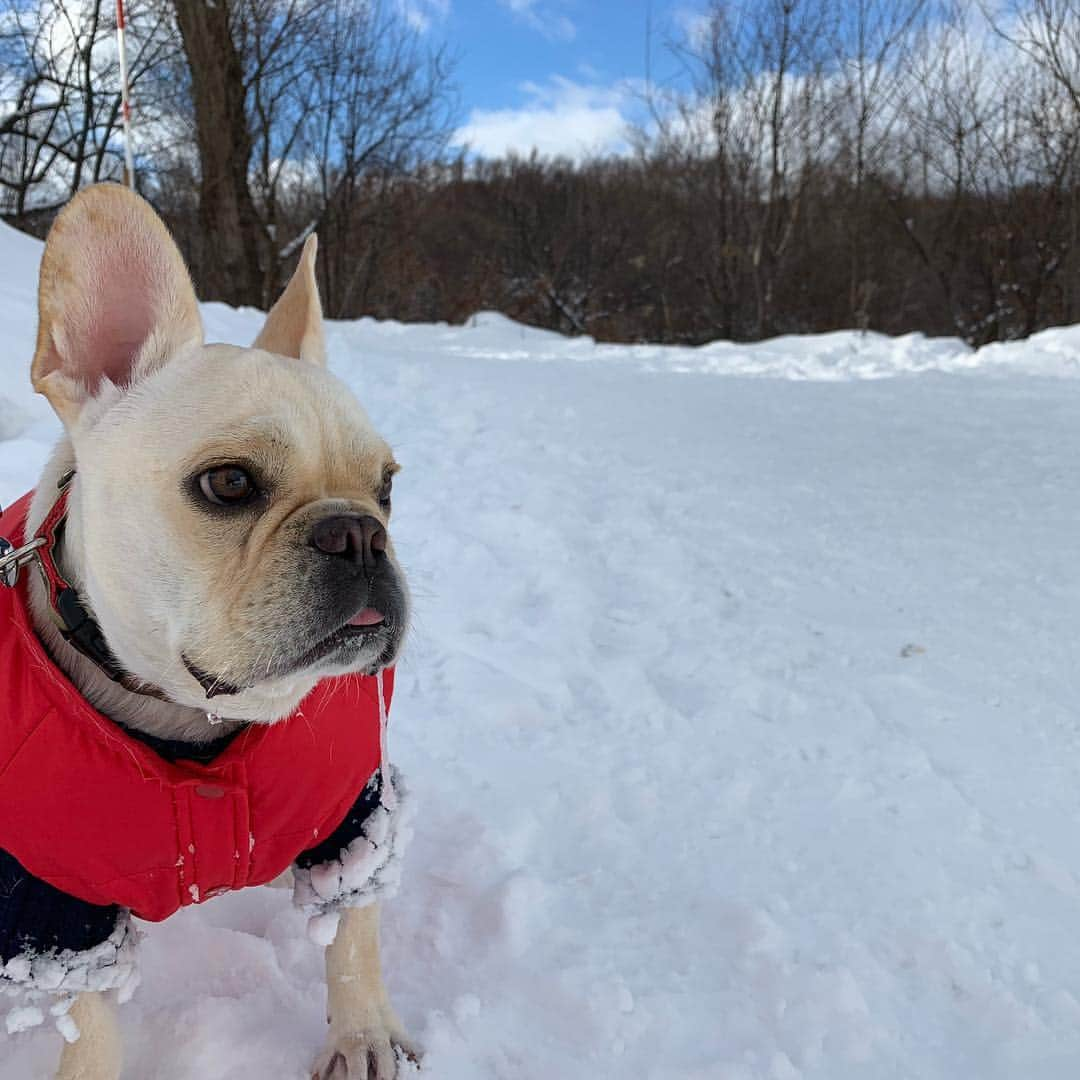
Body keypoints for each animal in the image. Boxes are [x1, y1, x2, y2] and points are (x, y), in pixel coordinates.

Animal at [22, 185, 416, 1080]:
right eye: (229, 483)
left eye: (386, 488)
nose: (360, 534)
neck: (190, 719)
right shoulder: (51, 909)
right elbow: (88, 1021)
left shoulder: (358, 815)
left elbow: (353, 936)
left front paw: (363, 1036)